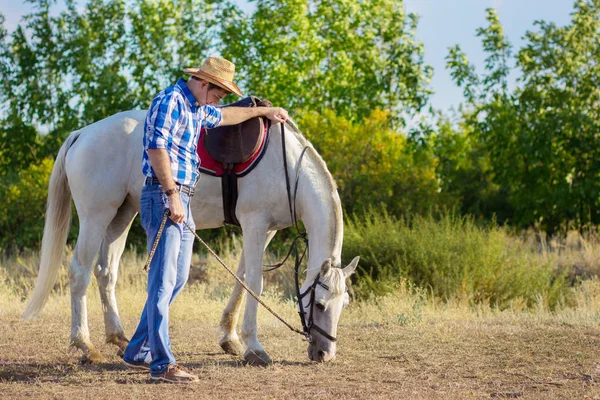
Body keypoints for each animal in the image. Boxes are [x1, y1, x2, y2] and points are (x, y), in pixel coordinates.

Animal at [23, 109, 358, 366]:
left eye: (345, 304)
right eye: (320, 305)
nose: (325, 354)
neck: (287, 166)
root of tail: (82, 134)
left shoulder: (267, 230)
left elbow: (241, 278)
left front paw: (230, 339)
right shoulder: (255, 223)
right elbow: (255, 282)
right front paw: (254, 347)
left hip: (121, 215)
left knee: (106, 273)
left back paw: (119, 338)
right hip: (96, 217)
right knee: (79, 273)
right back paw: (85, 346)